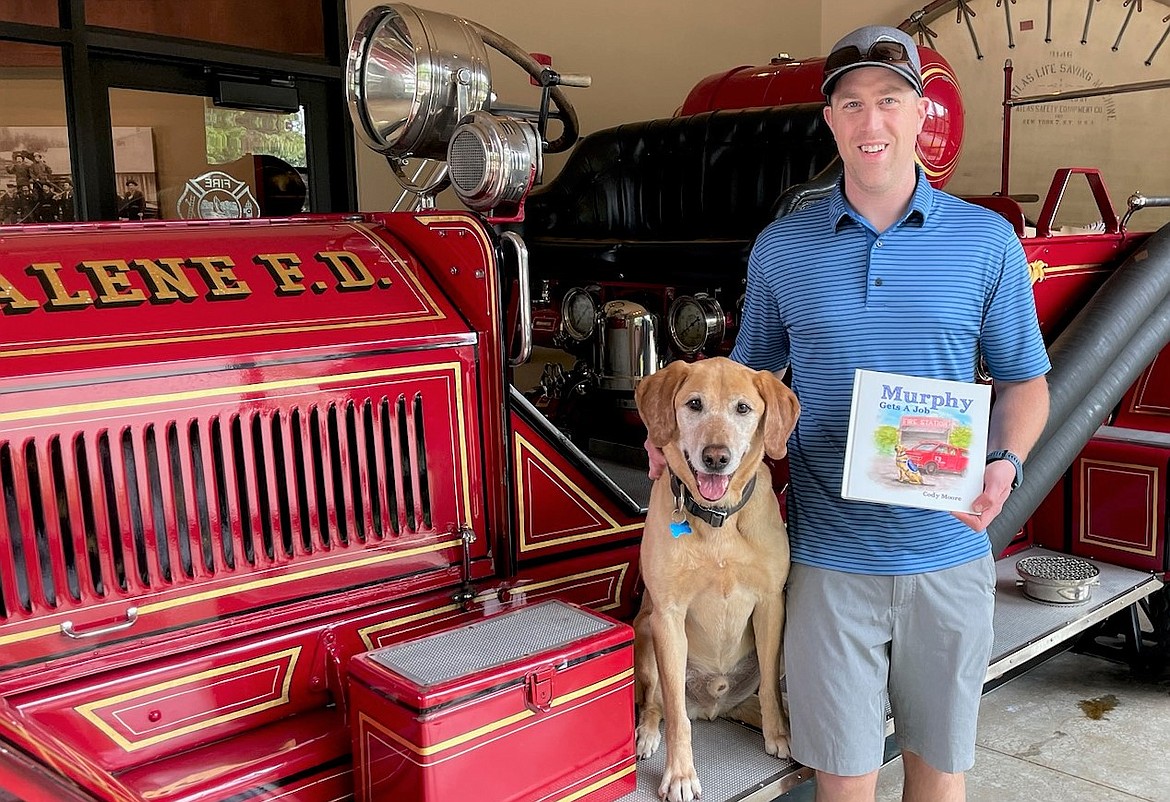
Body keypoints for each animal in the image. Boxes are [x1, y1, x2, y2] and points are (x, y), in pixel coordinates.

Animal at [636, 358, 800, 800]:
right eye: (694, 404)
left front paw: (780, 736)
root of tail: (713, 708)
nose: (716, 457)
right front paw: (679, 774)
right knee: (658, 704)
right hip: (647, 634)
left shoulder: (772, 603)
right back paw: (646, 732)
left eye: (743, 408)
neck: (719, 519)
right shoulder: (668, 616)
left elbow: (771, 691)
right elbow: (677, 717)